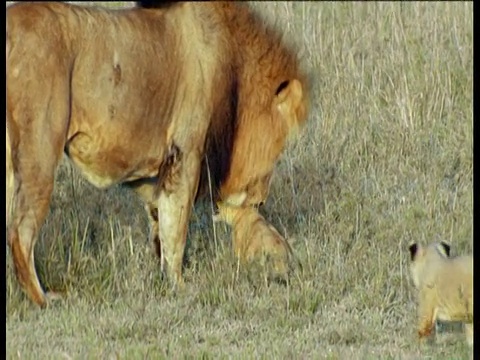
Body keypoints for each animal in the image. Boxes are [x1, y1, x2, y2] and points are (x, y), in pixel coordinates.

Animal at [5, 1, 310, 308]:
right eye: (279, 151)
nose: (261, 200)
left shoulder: (155, 171)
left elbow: (159, 223)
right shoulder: (185, 153)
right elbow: (177, 226)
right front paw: (180, 286)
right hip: (40, 148)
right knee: (21, 231)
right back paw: (44, 299)